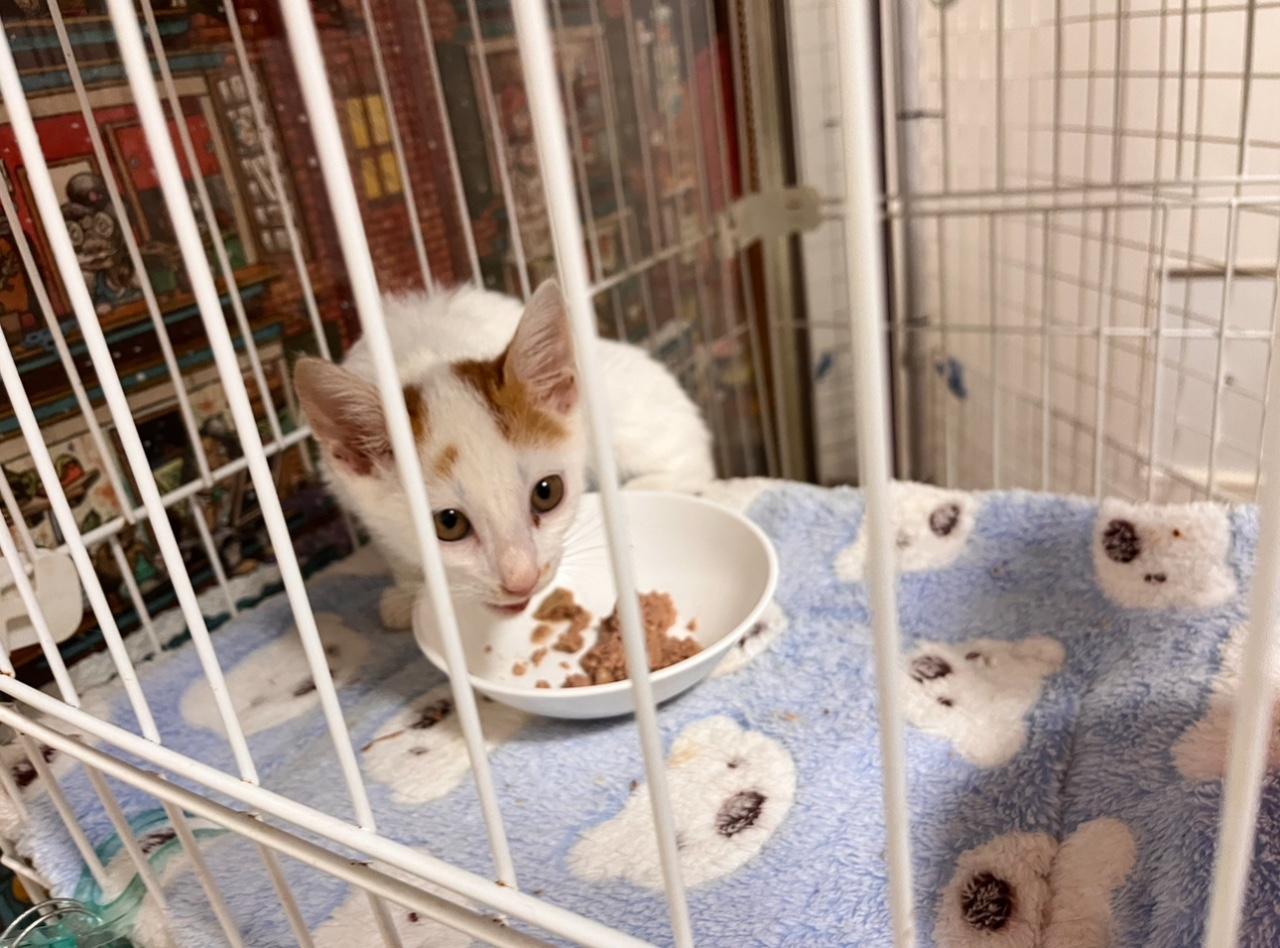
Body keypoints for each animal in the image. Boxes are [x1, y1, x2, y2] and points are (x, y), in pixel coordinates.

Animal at [293, 279, 716, 629]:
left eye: (547, 492)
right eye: (448, 524)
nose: (522, 580)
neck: (426, 355)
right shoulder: (346, 488)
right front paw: (408, 590)